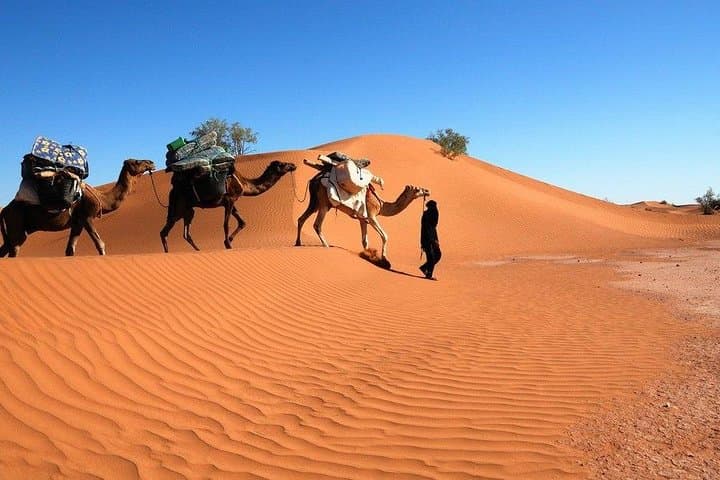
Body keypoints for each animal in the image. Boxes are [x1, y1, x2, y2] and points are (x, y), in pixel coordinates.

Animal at [0, 159, 156, 257]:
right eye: (137, 161)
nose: (151, 163)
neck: (103, 198)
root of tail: (5, 210)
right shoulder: (86, 217)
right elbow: (100, 244)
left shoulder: (77, 223)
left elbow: (70, 249)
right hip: (16, 222)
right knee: (14, 249)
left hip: (18, 229)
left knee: (7, 248)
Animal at [160, 160, 297, 252]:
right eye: (283, 164)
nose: (294, 165)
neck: (244, 184)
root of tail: (173, 190)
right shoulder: (229, 200)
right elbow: (226, 224)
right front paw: (228, 244)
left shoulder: (232, 202)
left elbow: (242, 222)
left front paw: (228, 241)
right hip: (179, 207)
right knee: (165, 231)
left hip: (188, 210)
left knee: (184, 233)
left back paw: (196, 250)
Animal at [295, 162, 430, 259]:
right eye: (417, 189)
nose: (427, 191)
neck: (381, 204)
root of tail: (314, 179)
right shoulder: (371, 216)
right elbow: (385, 236)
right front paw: (384, 258)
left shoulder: (362, 218)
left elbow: (365, 240)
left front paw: (368, 254)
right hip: (323, 203)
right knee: (317, 224)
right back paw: (326, 246)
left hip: (315, 203)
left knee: (301, 219)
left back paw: (298, 243)